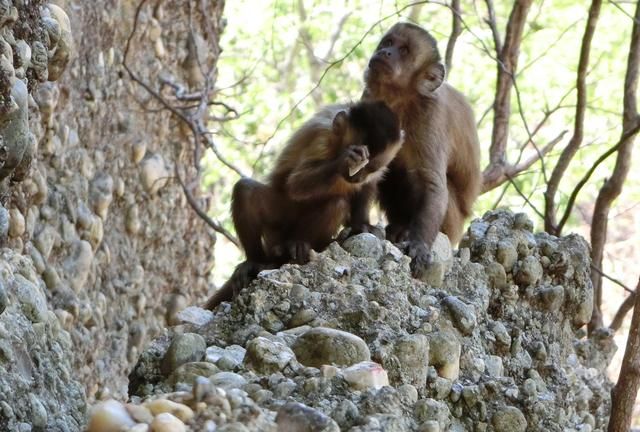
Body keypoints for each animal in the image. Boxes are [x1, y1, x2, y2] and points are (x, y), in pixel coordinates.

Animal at [204, 101, 404, 308]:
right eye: (358, 165)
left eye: (370, 168)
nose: (357, 177)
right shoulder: (322, 137)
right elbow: (296, 184)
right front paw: (344, 160)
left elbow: (368, 186)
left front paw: (361, 225)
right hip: (278, 224)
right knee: (246, 190)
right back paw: (258, 262)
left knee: (336, 204)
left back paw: (299, 246)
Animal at [362, 22, 482, 276]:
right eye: (388, 43)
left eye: (404, 51)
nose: (386, 52)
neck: (401, 101)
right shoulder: (370, 99)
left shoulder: (430, 115)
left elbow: (432, 184)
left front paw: (418, 244)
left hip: (453, 225)